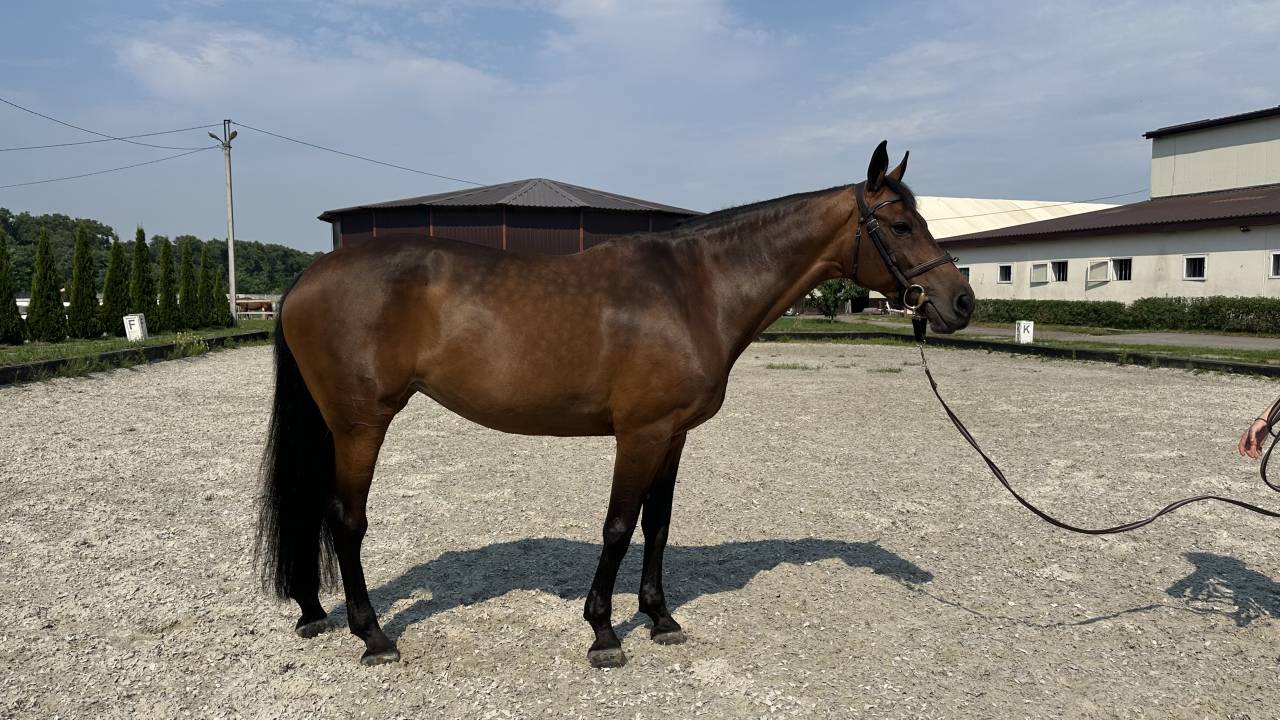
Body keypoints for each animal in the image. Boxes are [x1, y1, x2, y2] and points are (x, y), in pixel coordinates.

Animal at [255, 141, 974, 668]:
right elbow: (619, 526)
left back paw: (314, 612)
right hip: (360, 424)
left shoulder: (673, 435)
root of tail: (309, 276)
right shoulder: (641, 433)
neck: (694, 289)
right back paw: (373, 636)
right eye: (901, 223)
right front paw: (604, 633)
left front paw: (660, 617)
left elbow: (657, 527)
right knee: (346, 520)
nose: (961, 302)